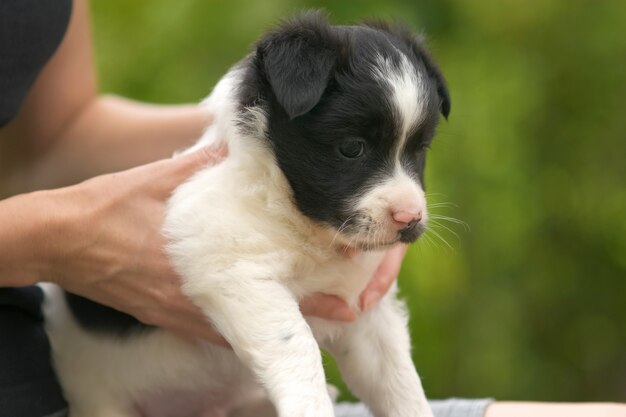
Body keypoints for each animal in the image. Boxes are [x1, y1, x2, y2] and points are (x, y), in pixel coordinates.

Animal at [41, 11, 448, 416]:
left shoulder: (367, 311)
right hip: (100, 397)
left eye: (420, 149)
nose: (410, 219)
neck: (303, 225)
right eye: (352, 148)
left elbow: (399, 380)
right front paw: (311, 404)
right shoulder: (233, 270)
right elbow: (296, 345)